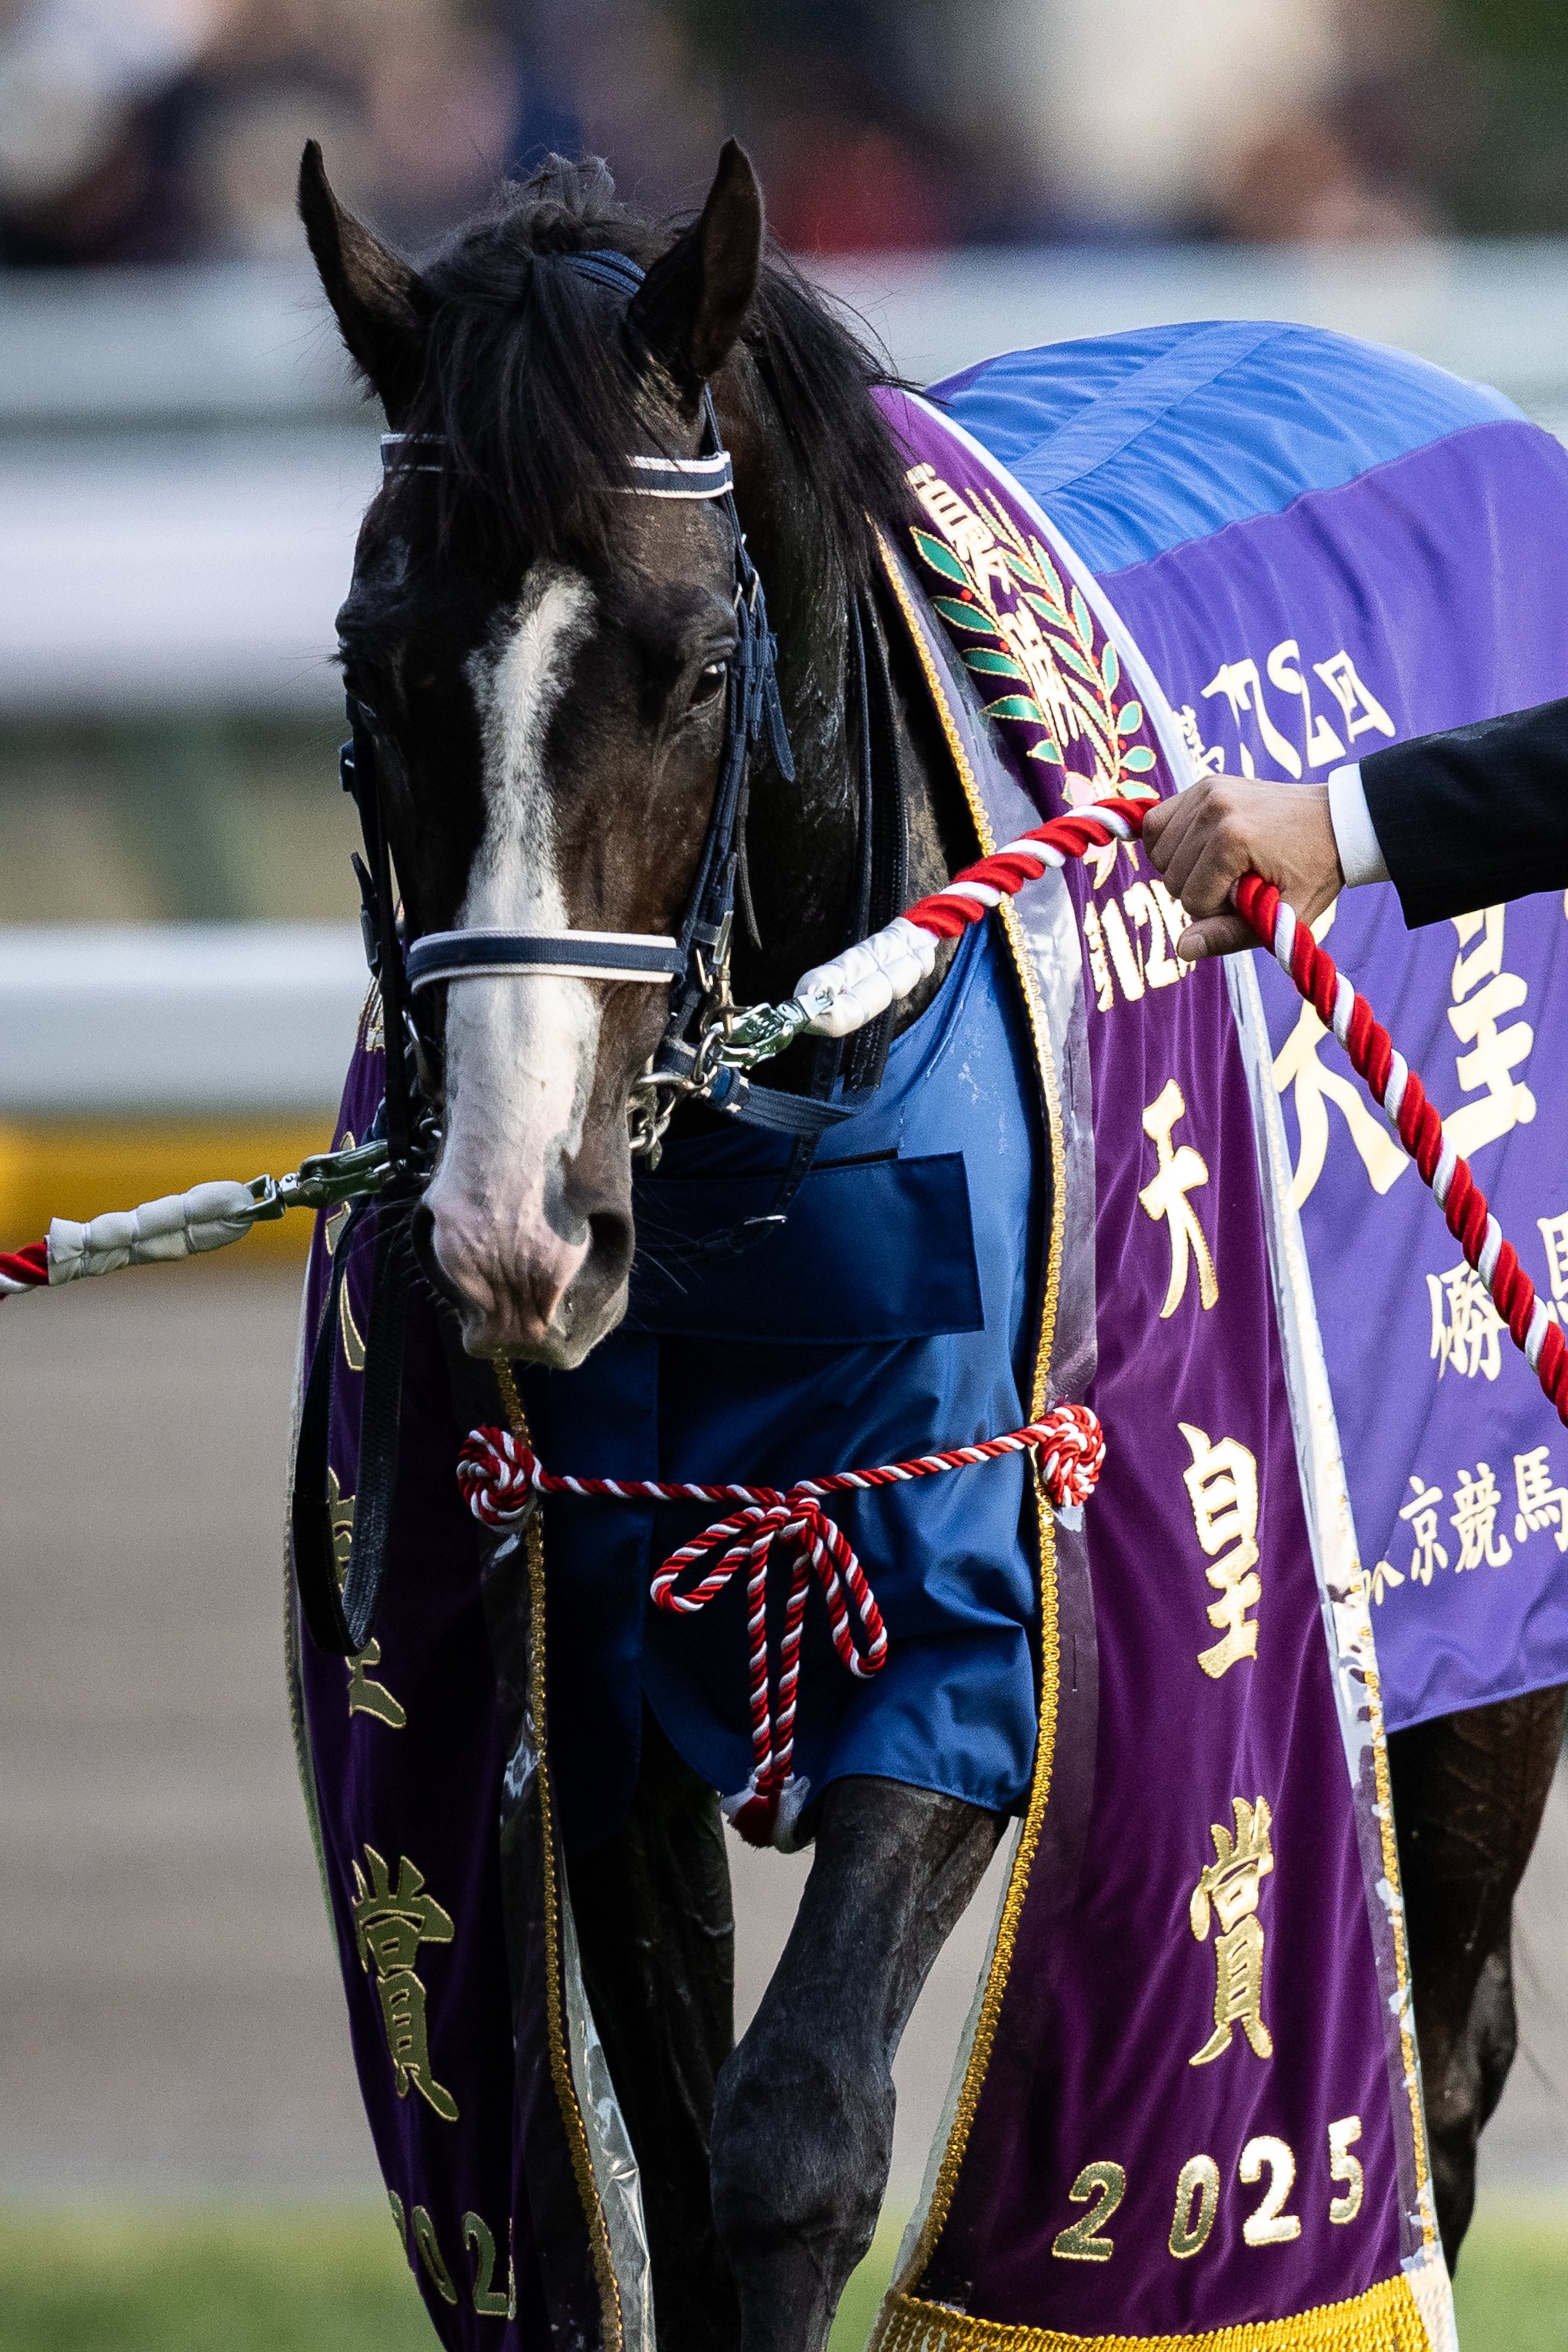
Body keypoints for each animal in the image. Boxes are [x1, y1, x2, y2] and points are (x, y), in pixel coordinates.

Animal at [296, 136, 1565, 2352]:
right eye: (375, 676)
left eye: (688, 662)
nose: (515, 1228)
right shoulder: (598, 1670)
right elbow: (679, 2168)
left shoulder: (974, 1604)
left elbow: (792, 2140)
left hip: (1473, 1591)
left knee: (1448, 2054)